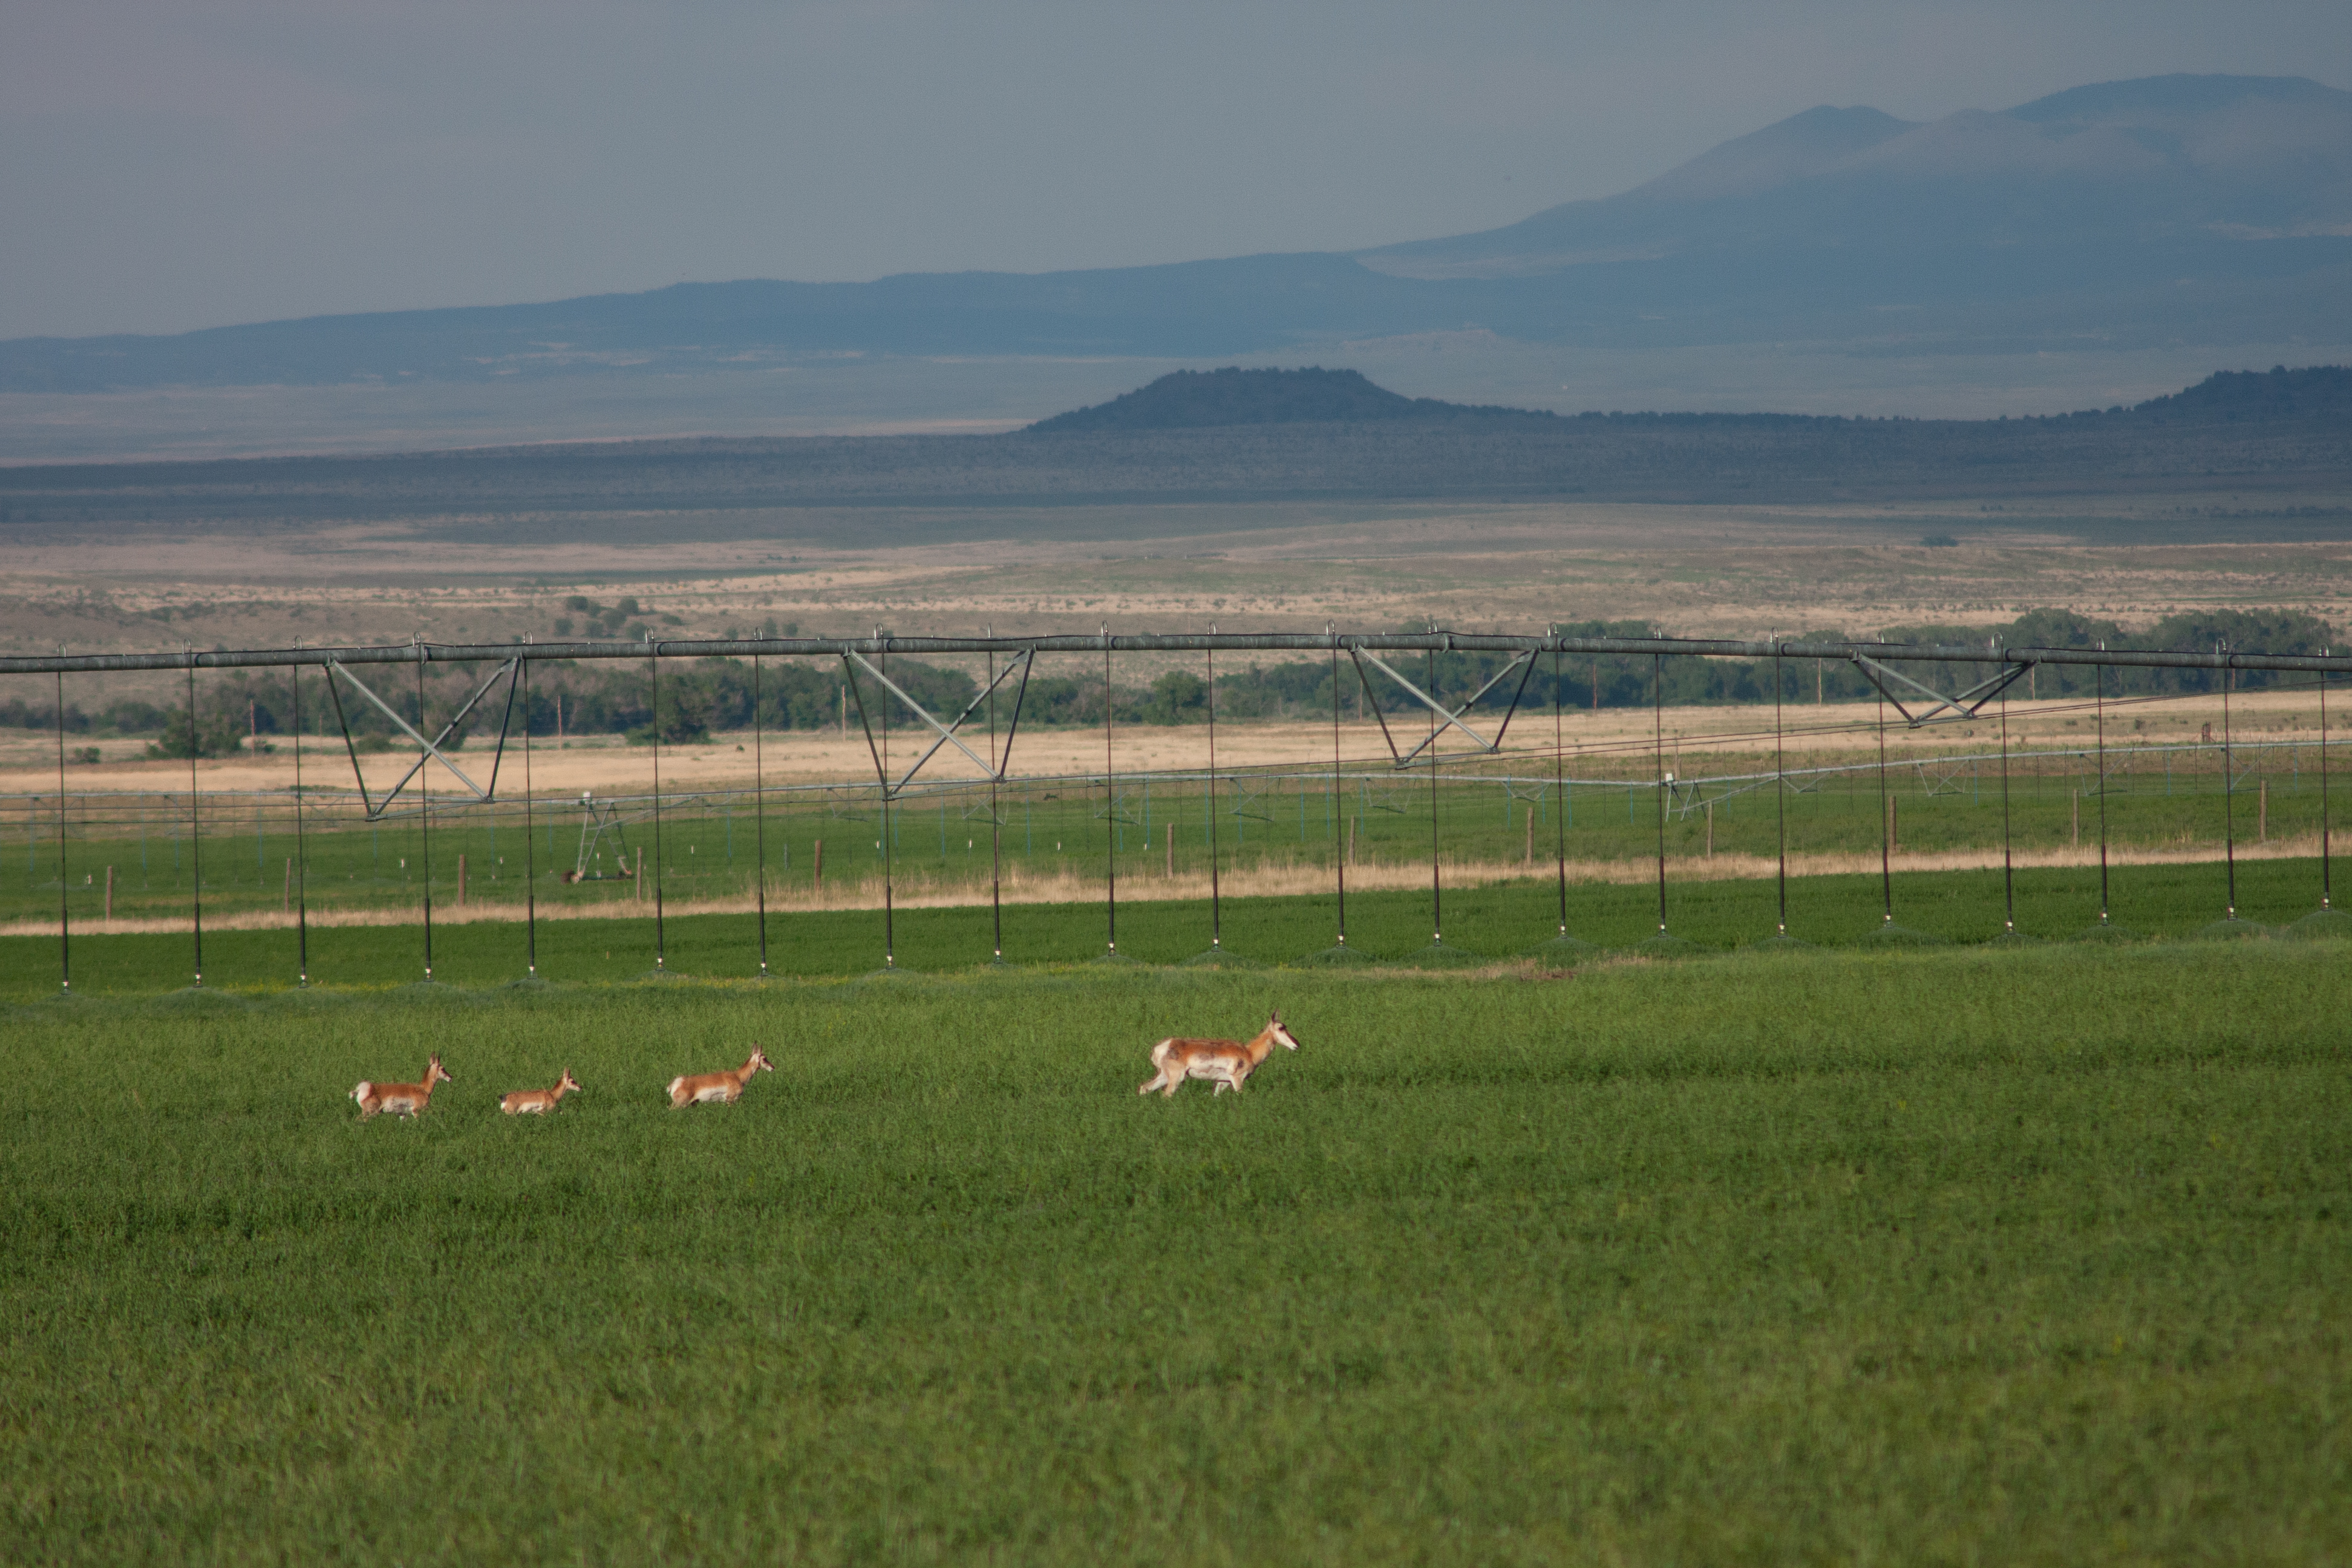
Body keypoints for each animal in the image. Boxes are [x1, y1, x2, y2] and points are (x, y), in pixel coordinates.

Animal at [668, 1048, 776, 1109]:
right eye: (765, 1059)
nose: (773, 1068)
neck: (737, 1076)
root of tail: (676, 1083)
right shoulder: (730, 1100)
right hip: (680, 1104)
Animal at [1134, 1011, 1298, 1100]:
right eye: (1281, 1028)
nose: (1297, 1044)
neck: (1249, 1052)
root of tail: (1164, 1046)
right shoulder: (1237, 1080)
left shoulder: (1223, 1082)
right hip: (1176, 1077)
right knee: (1166, 1095)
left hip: (1164, 1075)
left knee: (1145, 1088)